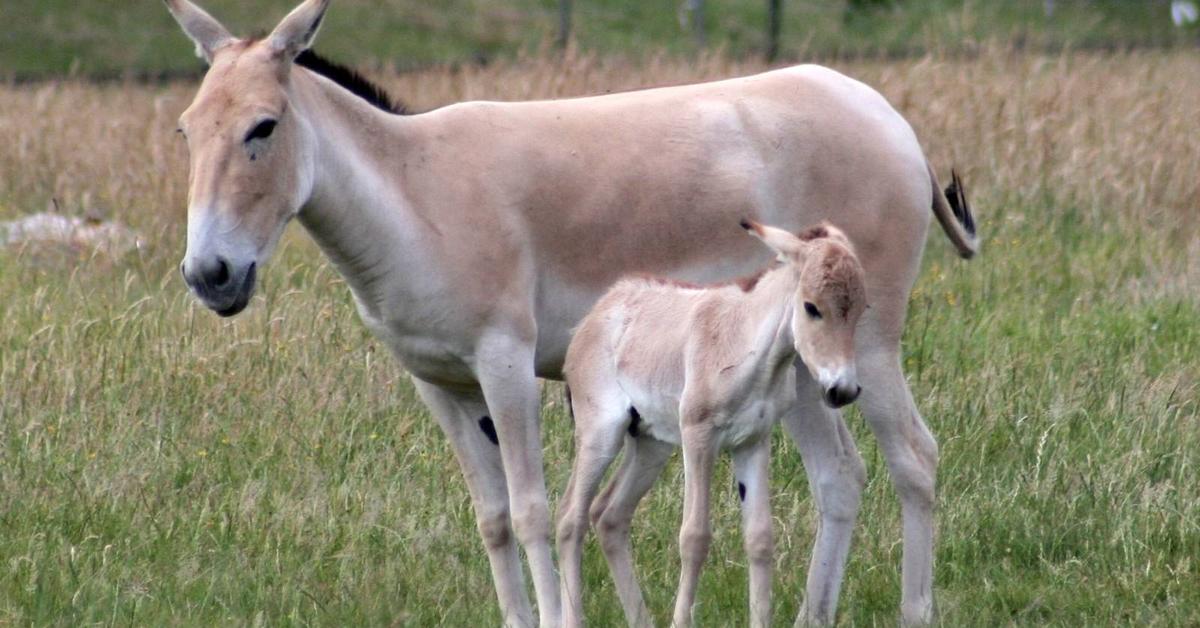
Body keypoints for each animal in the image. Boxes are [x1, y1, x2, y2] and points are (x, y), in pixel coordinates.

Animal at [556, 218, 868, 624]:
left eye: (861, 310)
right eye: (812, 308)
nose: (842, 391)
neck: (751, 349)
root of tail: (602, 307)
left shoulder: (752, 441)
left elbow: (760, 538)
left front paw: (760, 621)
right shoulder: (699, 437)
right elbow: (694, 536)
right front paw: (681, 622)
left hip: (651, 444)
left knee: (609, 515)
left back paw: (641, 621)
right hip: (601, 434)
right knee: (570, 520)